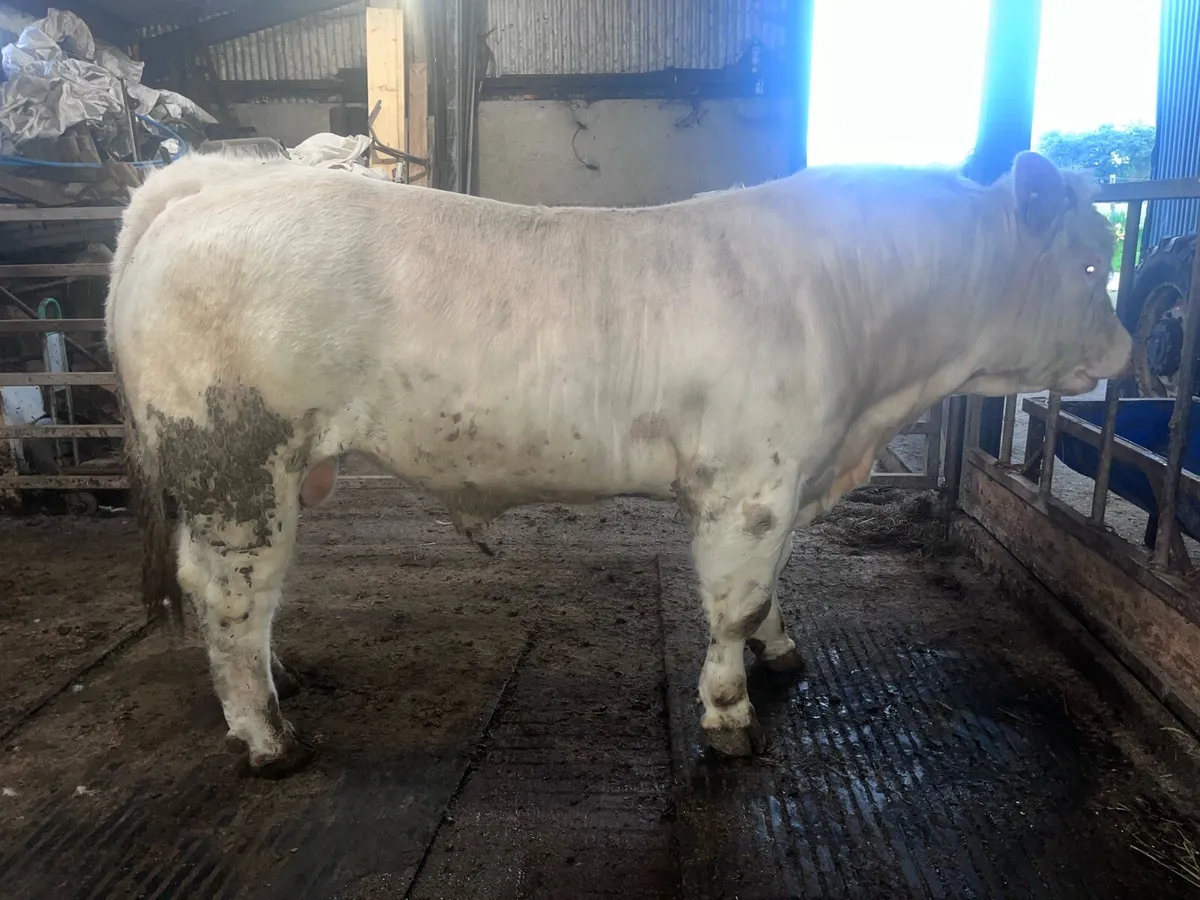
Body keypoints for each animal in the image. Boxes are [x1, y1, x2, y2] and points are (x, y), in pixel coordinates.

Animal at [105, 150, 1131, 777]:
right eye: (1090, 265)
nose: (1129, 351)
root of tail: (211, 182)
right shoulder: (749, 485)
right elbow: (735, 600)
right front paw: (728, 714)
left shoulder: (778, 484)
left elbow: (769, 590)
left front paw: (780, 654)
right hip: (239, 465)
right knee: (232, 595)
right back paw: (269, 736)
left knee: (231, 598)